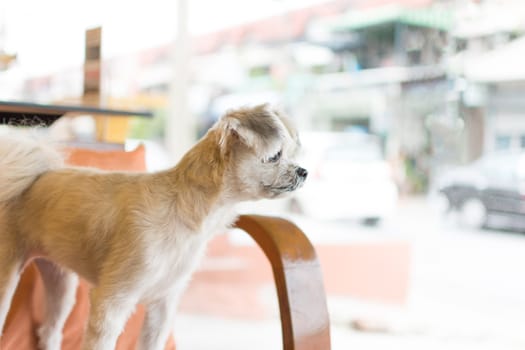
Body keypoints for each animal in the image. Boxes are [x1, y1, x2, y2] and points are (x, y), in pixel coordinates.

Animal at [0, 105, 308, 350]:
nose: (303, 171)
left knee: (49, 331)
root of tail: (35, 176)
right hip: (8, 278)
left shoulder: (162, 305)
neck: (182, 209)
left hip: (61, 284)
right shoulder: (111, 303)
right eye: (275, 156)